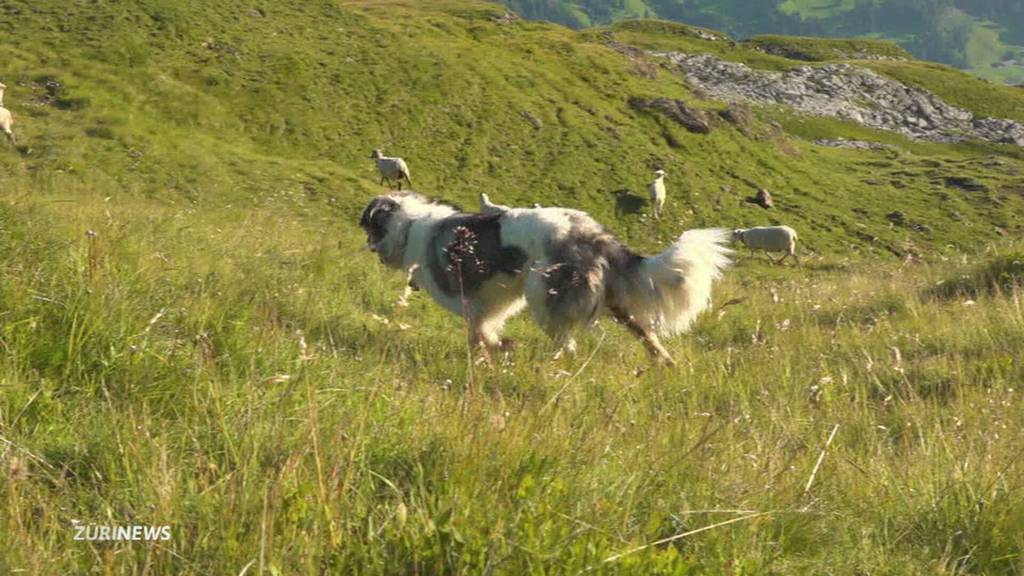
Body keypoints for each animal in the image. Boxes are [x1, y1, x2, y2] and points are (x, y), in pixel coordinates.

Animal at [356, 191, 733, 362]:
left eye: (370, 227)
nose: (368, 247)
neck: (409, 227)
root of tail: (595, 234)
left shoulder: (470, 299)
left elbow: (478, 332)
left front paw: (492, 352)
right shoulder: (492, 302)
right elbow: (485, 329)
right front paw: (498, 347)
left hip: (543, 291)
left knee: (566, 342)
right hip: (616, 305)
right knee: (648, 336)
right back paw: (665, 364)